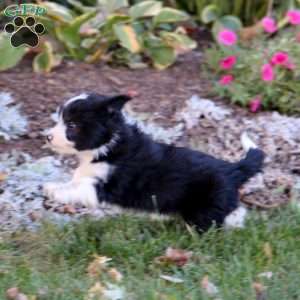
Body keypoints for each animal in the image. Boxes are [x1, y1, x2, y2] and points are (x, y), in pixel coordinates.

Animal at [43, 94, 264, 232]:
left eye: (72, 125)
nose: (47, 137)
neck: (106, 147)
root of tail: (233, 168)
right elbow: (74, 182)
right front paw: (53, 186)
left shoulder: (109, 186)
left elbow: (79, 188)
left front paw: (54, 192)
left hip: (206, 208)